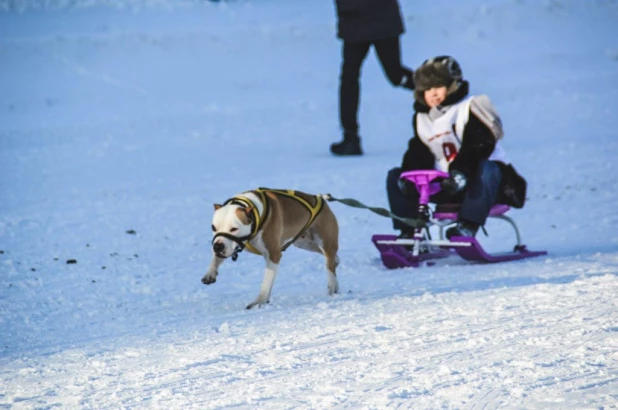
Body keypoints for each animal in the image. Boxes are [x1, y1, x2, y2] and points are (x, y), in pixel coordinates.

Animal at [201, 188, 336, 308]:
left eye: (234, 229)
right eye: (213, 227)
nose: (217, 247)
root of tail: (320, 198)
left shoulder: (273, 254)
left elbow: (266, 282)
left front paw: (259, 301)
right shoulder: (225, 244)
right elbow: (216, 258)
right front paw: (210, 273)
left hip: (325, 242)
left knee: (329, 263)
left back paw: (333, 286)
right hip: (305, 243)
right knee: (334, 259)